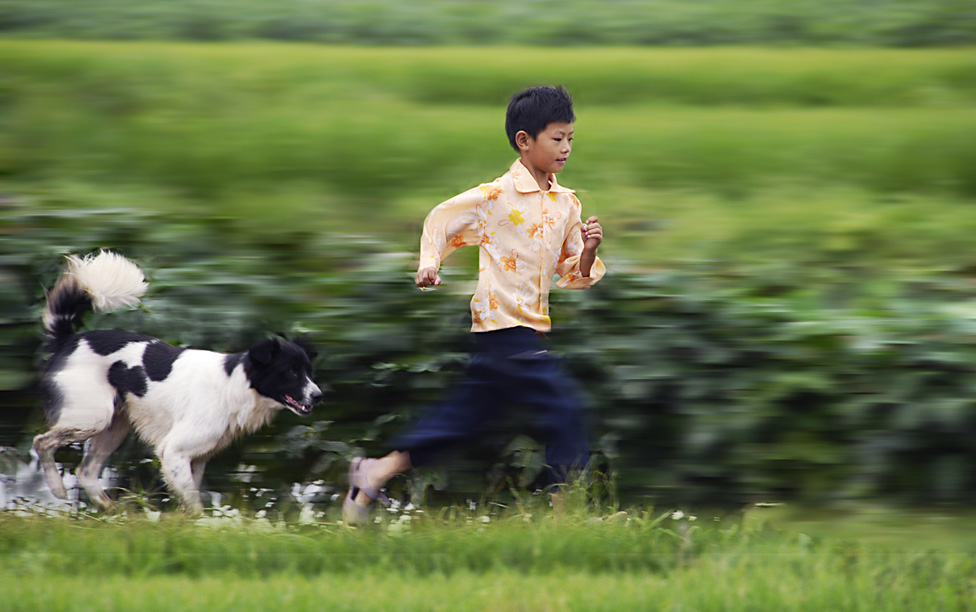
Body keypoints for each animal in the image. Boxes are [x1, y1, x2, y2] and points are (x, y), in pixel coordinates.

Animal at [33, 251, 324, 512]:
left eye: (308, 371)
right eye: (291, 372)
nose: (319, 396)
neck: (234, 385)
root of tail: (70, 338)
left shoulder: (198, 457)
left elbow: (190, 497)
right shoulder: (174, 450)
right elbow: (194, 504)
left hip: (114, 425)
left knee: (87, 472)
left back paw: (116, 512)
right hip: (92, 417)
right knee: (42, 442)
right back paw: (58, 489)